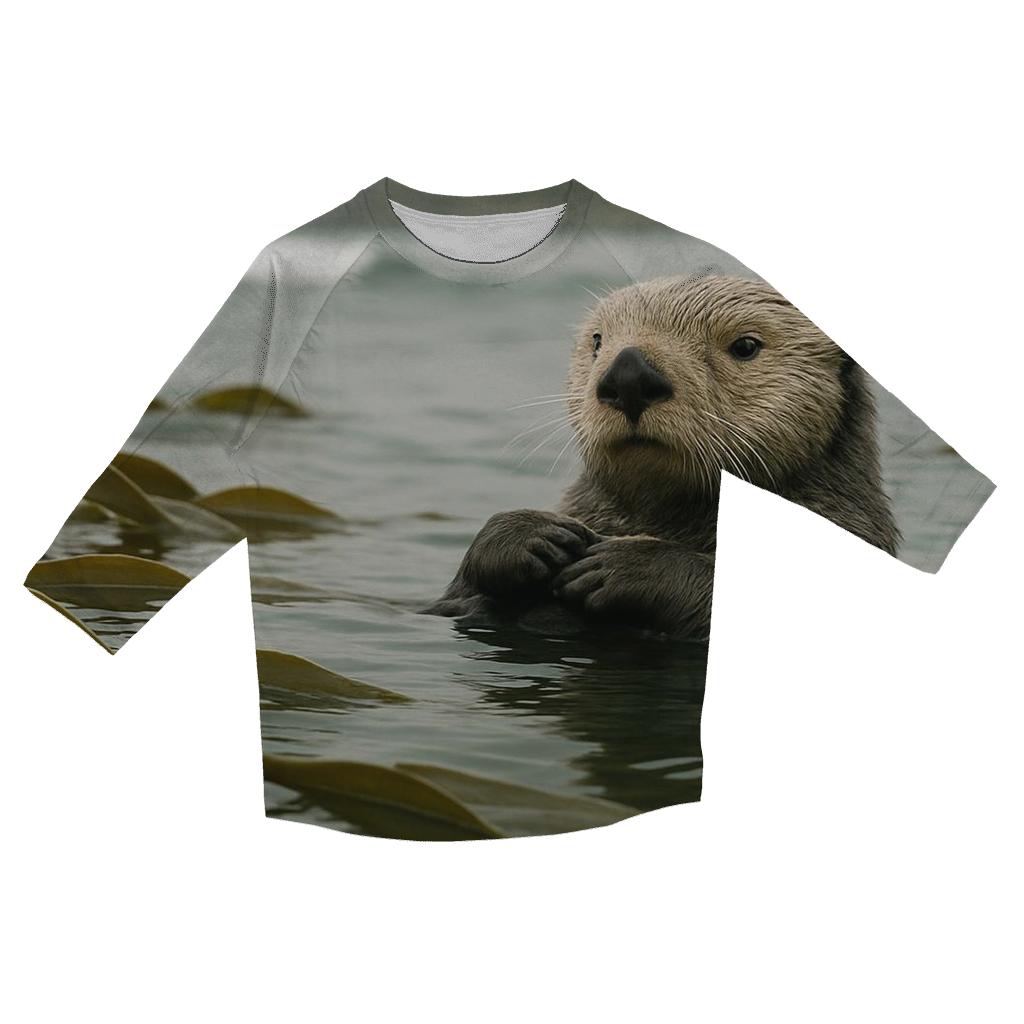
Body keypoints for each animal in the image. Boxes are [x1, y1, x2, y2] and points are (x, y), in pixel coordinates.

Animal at [428, 275, 899, 639]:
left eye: (745, 346)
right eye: (597, 341)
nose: (629, 374)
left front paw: (625, 565)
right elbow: (453, 602)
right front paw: (530, 534)